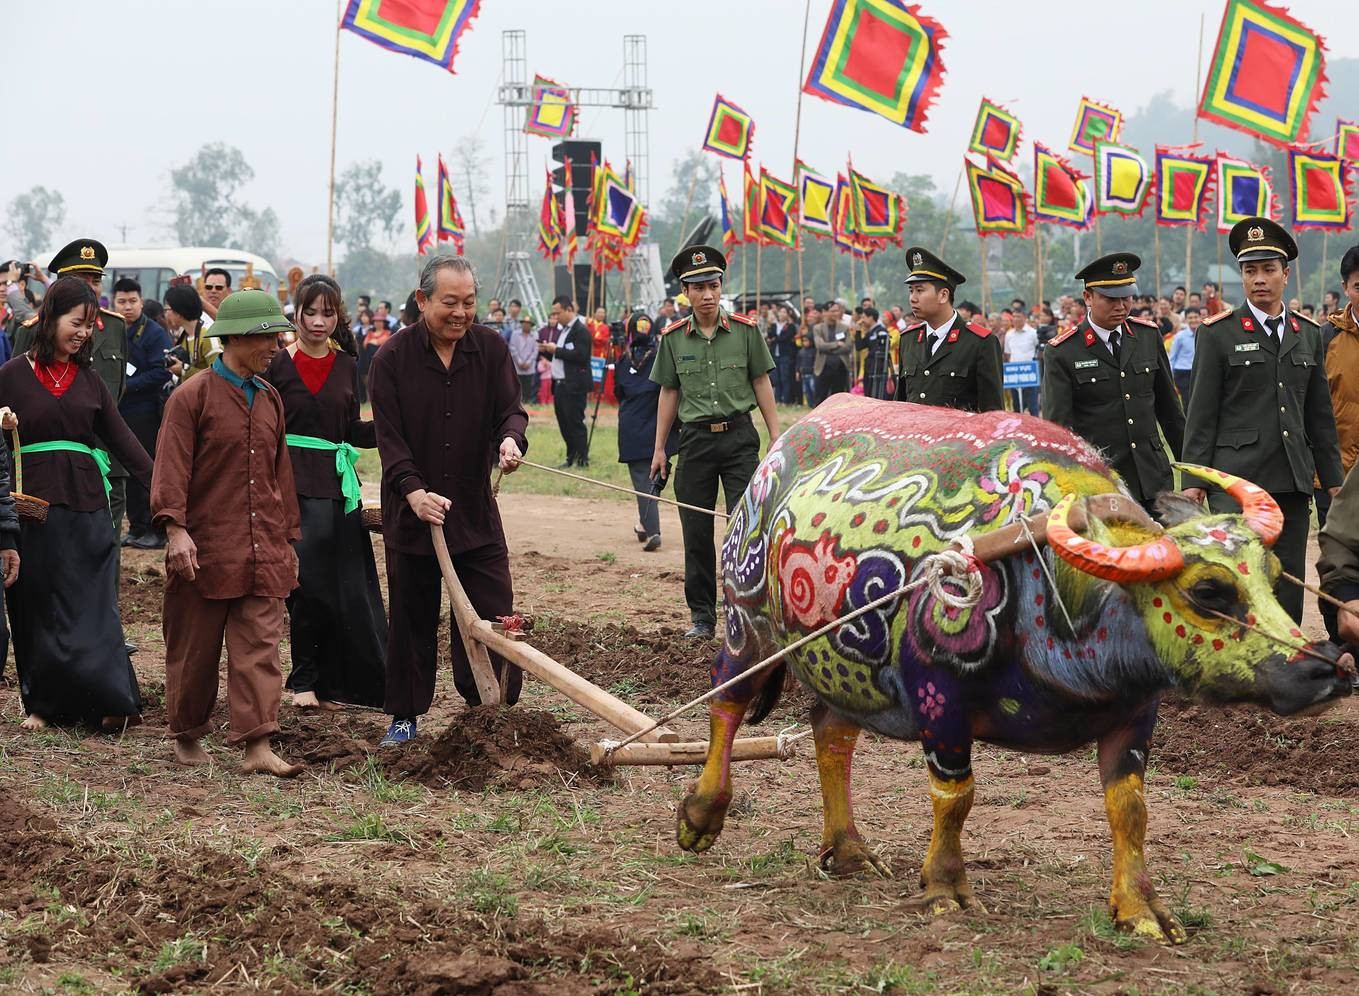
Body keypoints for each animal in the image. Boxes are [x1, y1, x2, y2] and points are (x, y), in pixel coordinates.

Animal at [674, 394, 1353, 940]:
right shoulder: (940, 701)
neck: (1046, 590)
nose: (1327, 669)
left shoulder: (1135, 715)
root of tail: (773, 460)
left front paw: (1140, 910)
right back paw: (701, 816)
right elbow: (955, 798)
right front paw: (945, 887)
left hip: (844, 667)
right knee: (724, 703)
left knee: (831, 735)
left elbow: (1130, 809)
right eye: (1208, 591)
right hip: (746, 625)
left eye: (1272, 574)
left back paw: (847, 852)